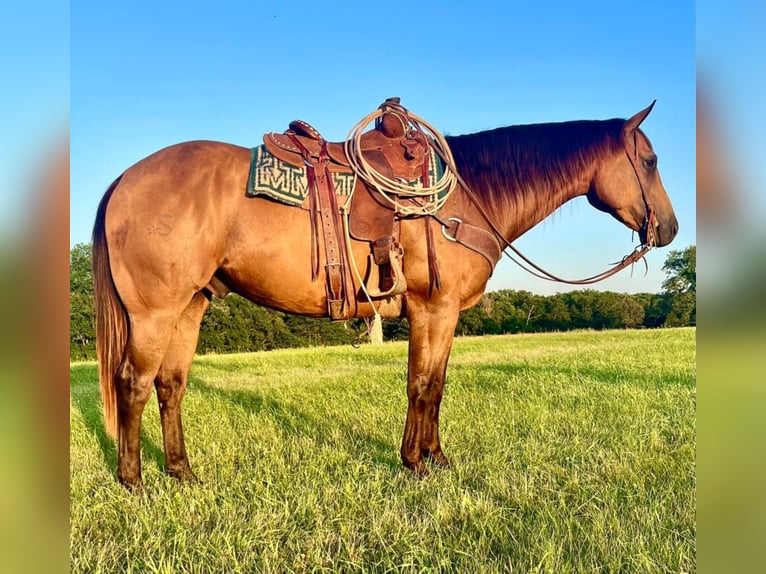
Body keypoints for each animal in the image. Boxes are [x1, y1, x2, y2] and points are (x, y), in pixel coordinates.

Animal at [94, 99, 680, 490]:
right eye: (651, 162)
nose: (671, 229)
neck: (467, 196)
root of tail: (124, 178)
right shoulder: (432, 309)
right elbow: (421, 385)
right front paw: (414, 463)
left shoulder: (444, 316)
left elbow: (438, 385)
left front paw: (437, 458)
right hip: (154, 313)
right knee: (133, 385)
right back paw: (134, 482)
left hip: (190, 307)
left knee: (170, 387)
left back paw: (183, 473)